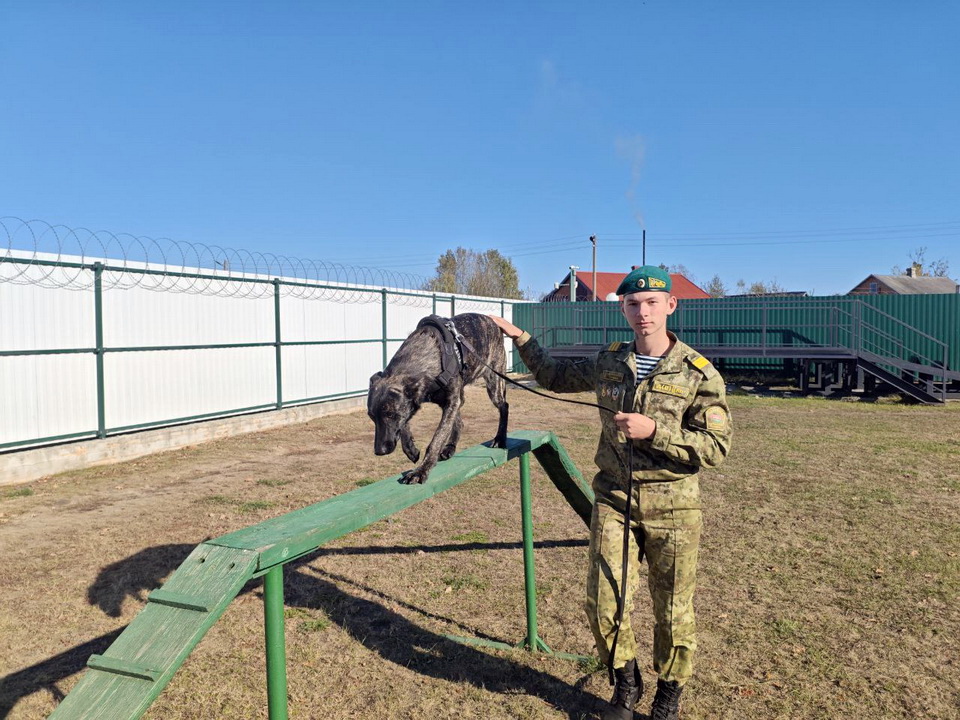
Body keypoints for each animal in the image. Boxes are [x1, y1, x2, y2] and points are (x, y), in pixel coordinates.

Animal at [368, 314, 510, 484]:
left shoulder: (451, 401)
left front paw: (421, 470)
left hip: (494, 384)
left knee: (504, 406)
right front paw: (410, 448)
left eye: (390, 415)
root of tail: (493, 323)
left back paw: (500, 438)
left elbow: (437, 438)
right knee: (459, 422)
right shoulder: (439, 401)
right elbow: (406, 424)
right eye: (371, 416)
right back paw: (449, 448)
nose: (379, 451)